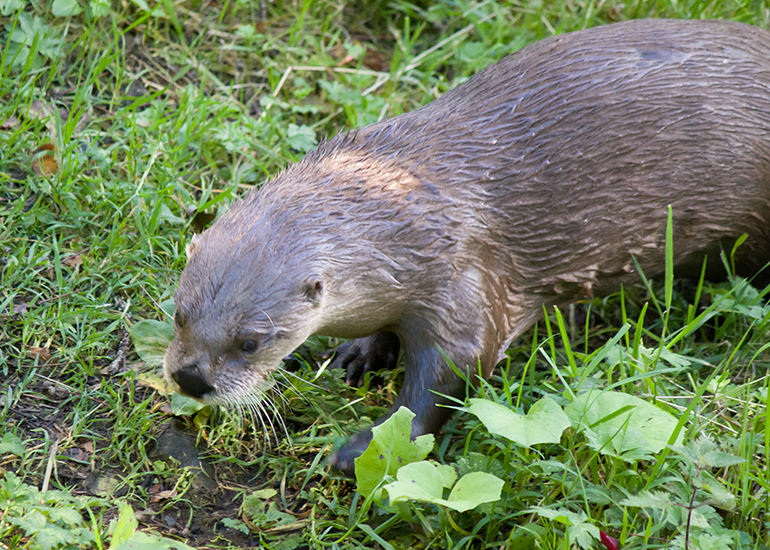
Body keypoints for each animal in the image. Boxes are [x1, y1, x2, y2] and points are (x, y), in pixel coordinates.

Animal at [164, 18, 770, 473]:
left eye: (251, 341)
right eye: (178, 312)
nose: (191, 378)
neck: (411, 215)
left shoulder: (465, 277)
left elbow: (449, 377)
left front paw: (363, 450)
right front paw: (362, 351)